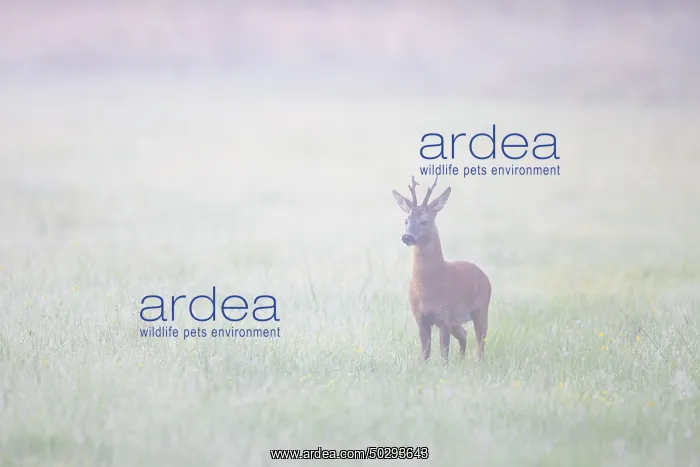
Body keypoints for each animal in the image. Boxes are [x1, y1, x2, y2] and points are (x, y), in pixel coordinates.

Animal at [392, 175, 491, 363]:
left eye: (424, 221)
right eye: (406, 220)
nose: (407, 236)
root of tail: (484, 275)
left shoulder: (444, 314)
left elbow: (444, 353)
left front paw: (445, 367)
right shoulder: (420, 318)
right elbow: (425, 354)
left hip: (482, 308)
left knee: (481, 341)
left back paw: (478, 362)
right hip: (457, 321)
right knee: (464, 334)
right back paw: (461, 359)